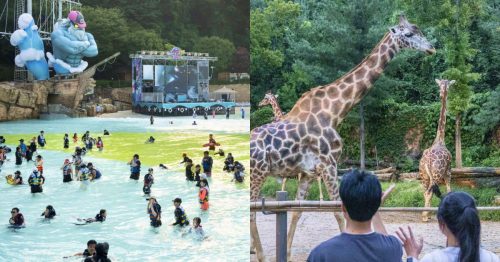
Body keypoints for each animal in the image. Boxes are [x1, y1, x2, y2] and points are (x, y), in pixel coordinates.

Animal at [252, 15, 436, 260]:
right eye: (408, 34)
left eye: (420, 30)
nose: (432, 48)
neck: (335, 111)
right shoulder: (329, 164)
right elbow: (339, 212)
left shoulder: (308, 172)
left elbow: (297, 210)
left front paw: (288, 254)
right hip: (258, 172)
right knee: (251, 211)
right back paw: (260, 255)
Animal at [420, 78, 456, 221]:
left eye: (442, 85)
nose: (441, 93)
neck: (440, 139)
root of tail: (428, 160)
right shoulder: (448, 172)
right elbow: (449, 191)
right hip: (436, 174)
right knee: (429, 192)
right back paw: (425, 216)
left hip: (423, 175)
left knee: (426, 191)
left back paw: (426, 215)